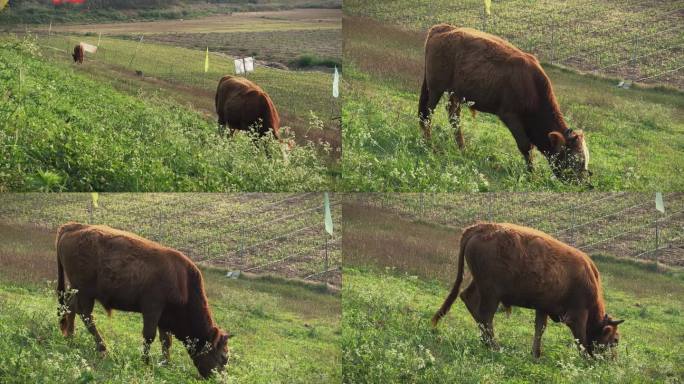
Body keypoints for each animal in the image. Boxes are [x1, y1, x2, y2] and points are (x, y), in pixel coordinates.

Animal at [56, 222, 232, 378]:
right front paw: (146, 362)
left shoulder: (164, 317)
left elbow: (166, 341)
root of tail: (73, 226)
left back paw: (70, 336)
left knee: (71, 307)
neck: (183, 282)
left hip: (78, 290)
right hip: (85, 292)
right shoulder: (152, 309)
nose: (218, 379)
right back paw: (102, 348)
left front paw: (166, 363)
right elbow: (149, 336)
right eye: (224, 357)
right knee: (86, 316)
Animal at [420, 24, 592, 181]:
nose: (581, 183)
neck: (532, 86)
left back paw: (462, 149)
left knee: (454, 117)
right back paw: (428, 143)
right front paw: (533, 175)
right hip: (435, 88)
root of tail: (443, 28)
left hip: (455, 94)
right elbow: (525, 145)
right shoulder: (510, 115)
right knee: (427, 114)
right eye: (574, 160)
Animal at [432, 222, 624, 356]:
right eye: (615, 340)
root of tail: (479, 228)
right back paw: (494, 345)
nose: (611, 361)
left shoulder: (543, 307)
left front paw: (536, 354)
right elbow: (580, 338)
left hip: (480, 285)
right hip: (491, 293)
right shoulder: (577, 314)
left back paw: (486, 342)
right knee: (486, 315)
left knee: (469, 300)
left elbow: (540, 328)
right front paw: (586, 359)